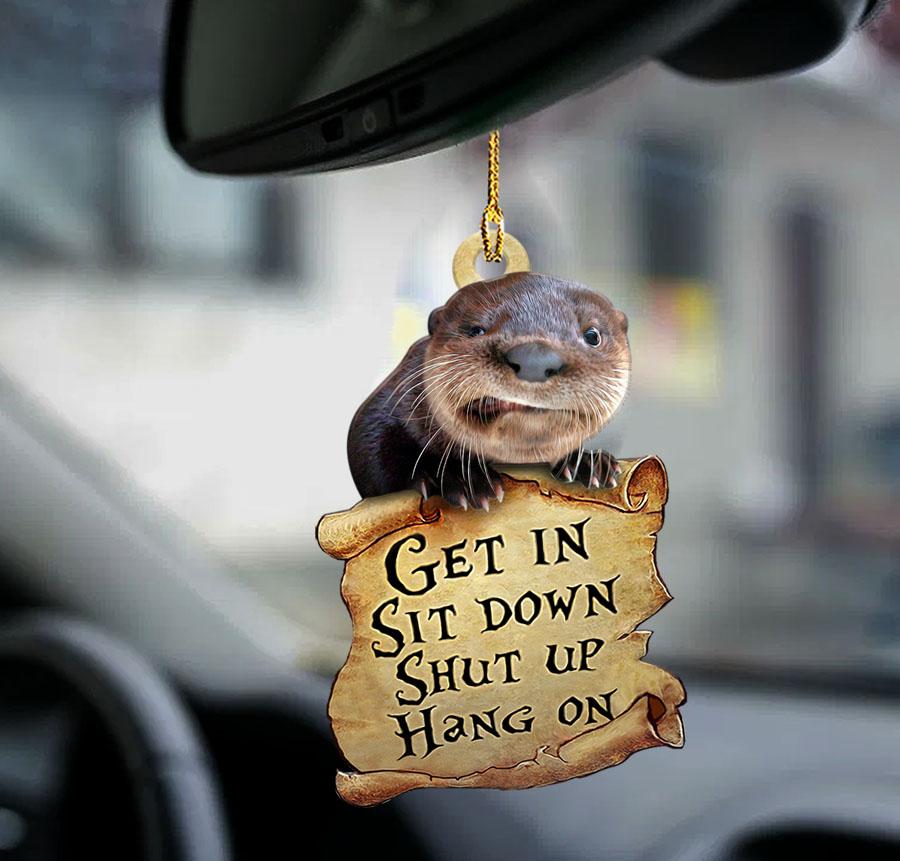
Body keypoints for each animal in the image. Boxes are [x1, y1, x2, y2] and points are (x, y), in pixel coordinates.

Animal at [348, 272, 630, 509]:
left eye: (592, 335)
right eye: (476, 330)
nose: (535, 358)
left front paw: (588, 463)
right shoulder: (392, 398)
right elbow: (371, 449)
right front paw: (460, 479)